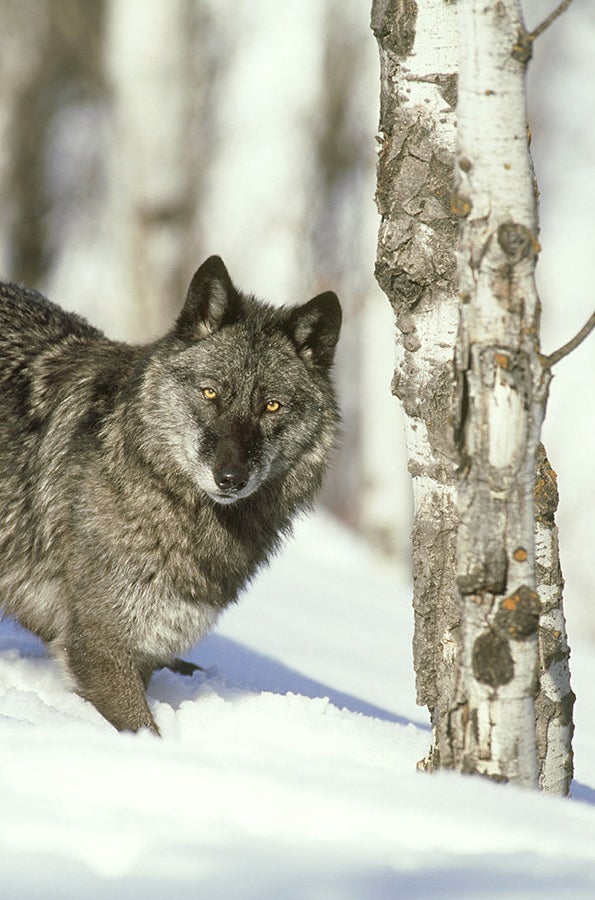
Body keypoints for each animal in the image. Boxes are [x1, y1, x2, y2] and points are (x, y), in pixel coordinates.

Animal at [0, 256, 342, 736]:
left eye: (271, 406)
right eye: (211, 392)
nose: (230, 478)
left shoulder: (147, 646)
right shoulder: (101, 651)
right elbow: (145, 733)